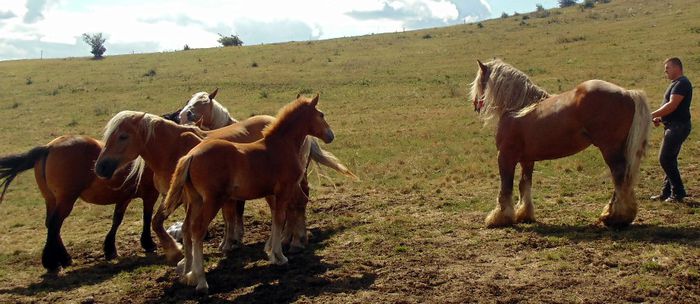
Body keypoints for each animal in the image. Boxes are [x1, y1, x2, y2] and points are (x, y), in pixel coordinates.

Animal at [0, 135, 159, 270]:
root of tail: (49, 147)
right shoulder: (150, 194)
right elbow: (146, 217)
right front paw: (148, 243)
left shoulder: (124, 197)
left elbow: (117, 220)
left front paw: (110, 250)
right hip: (66, 200)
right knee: (54, 224)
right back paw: (53, 263)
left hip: (51, 200)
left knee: (51, 224)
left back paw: (63, 259)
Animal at [161, 94, 334, 294]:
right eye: (321, 115)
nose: (331, 135)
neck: (281, 145)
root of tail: (191, 155)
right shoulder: (284, 191)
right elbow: (279, 219)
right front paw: (279, 256)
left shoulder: (272, 193)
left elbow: (275, 219)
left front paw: (272, 252)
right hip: (212, 200)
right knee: (198, 230)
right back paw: (201, 281)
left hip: (195, 200)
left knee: (187, 228)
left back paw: (189, 275)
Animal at [470, 58, 652, 228]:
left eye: (479, 83)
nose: (475, 105)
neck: (518, 109)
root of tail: (628, 93)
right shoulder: (527, 160)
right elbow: (524, 185)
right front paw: (524, 214)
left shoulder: (505, 157)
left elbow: (505, 187)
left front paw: (499, 218)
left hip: (610, 150)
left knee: (619, 177)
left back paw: (615, 217)